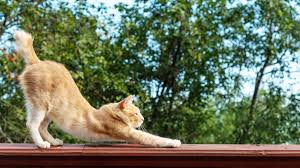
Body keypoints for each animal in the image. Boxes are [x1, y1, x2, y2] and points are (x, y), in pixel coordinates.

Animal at [14, 30, 180, 148]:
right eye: (136, 113)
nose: (143, 118)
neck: (111, 114)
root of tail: (37, 62)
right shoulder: (129, 133)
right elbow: (153, 138)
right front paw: (173, 141)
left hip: (50, 110)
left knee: (42, 127)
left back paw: (54, 142)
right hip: (39, 105)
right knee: (32, 124)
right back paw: (42, 144)